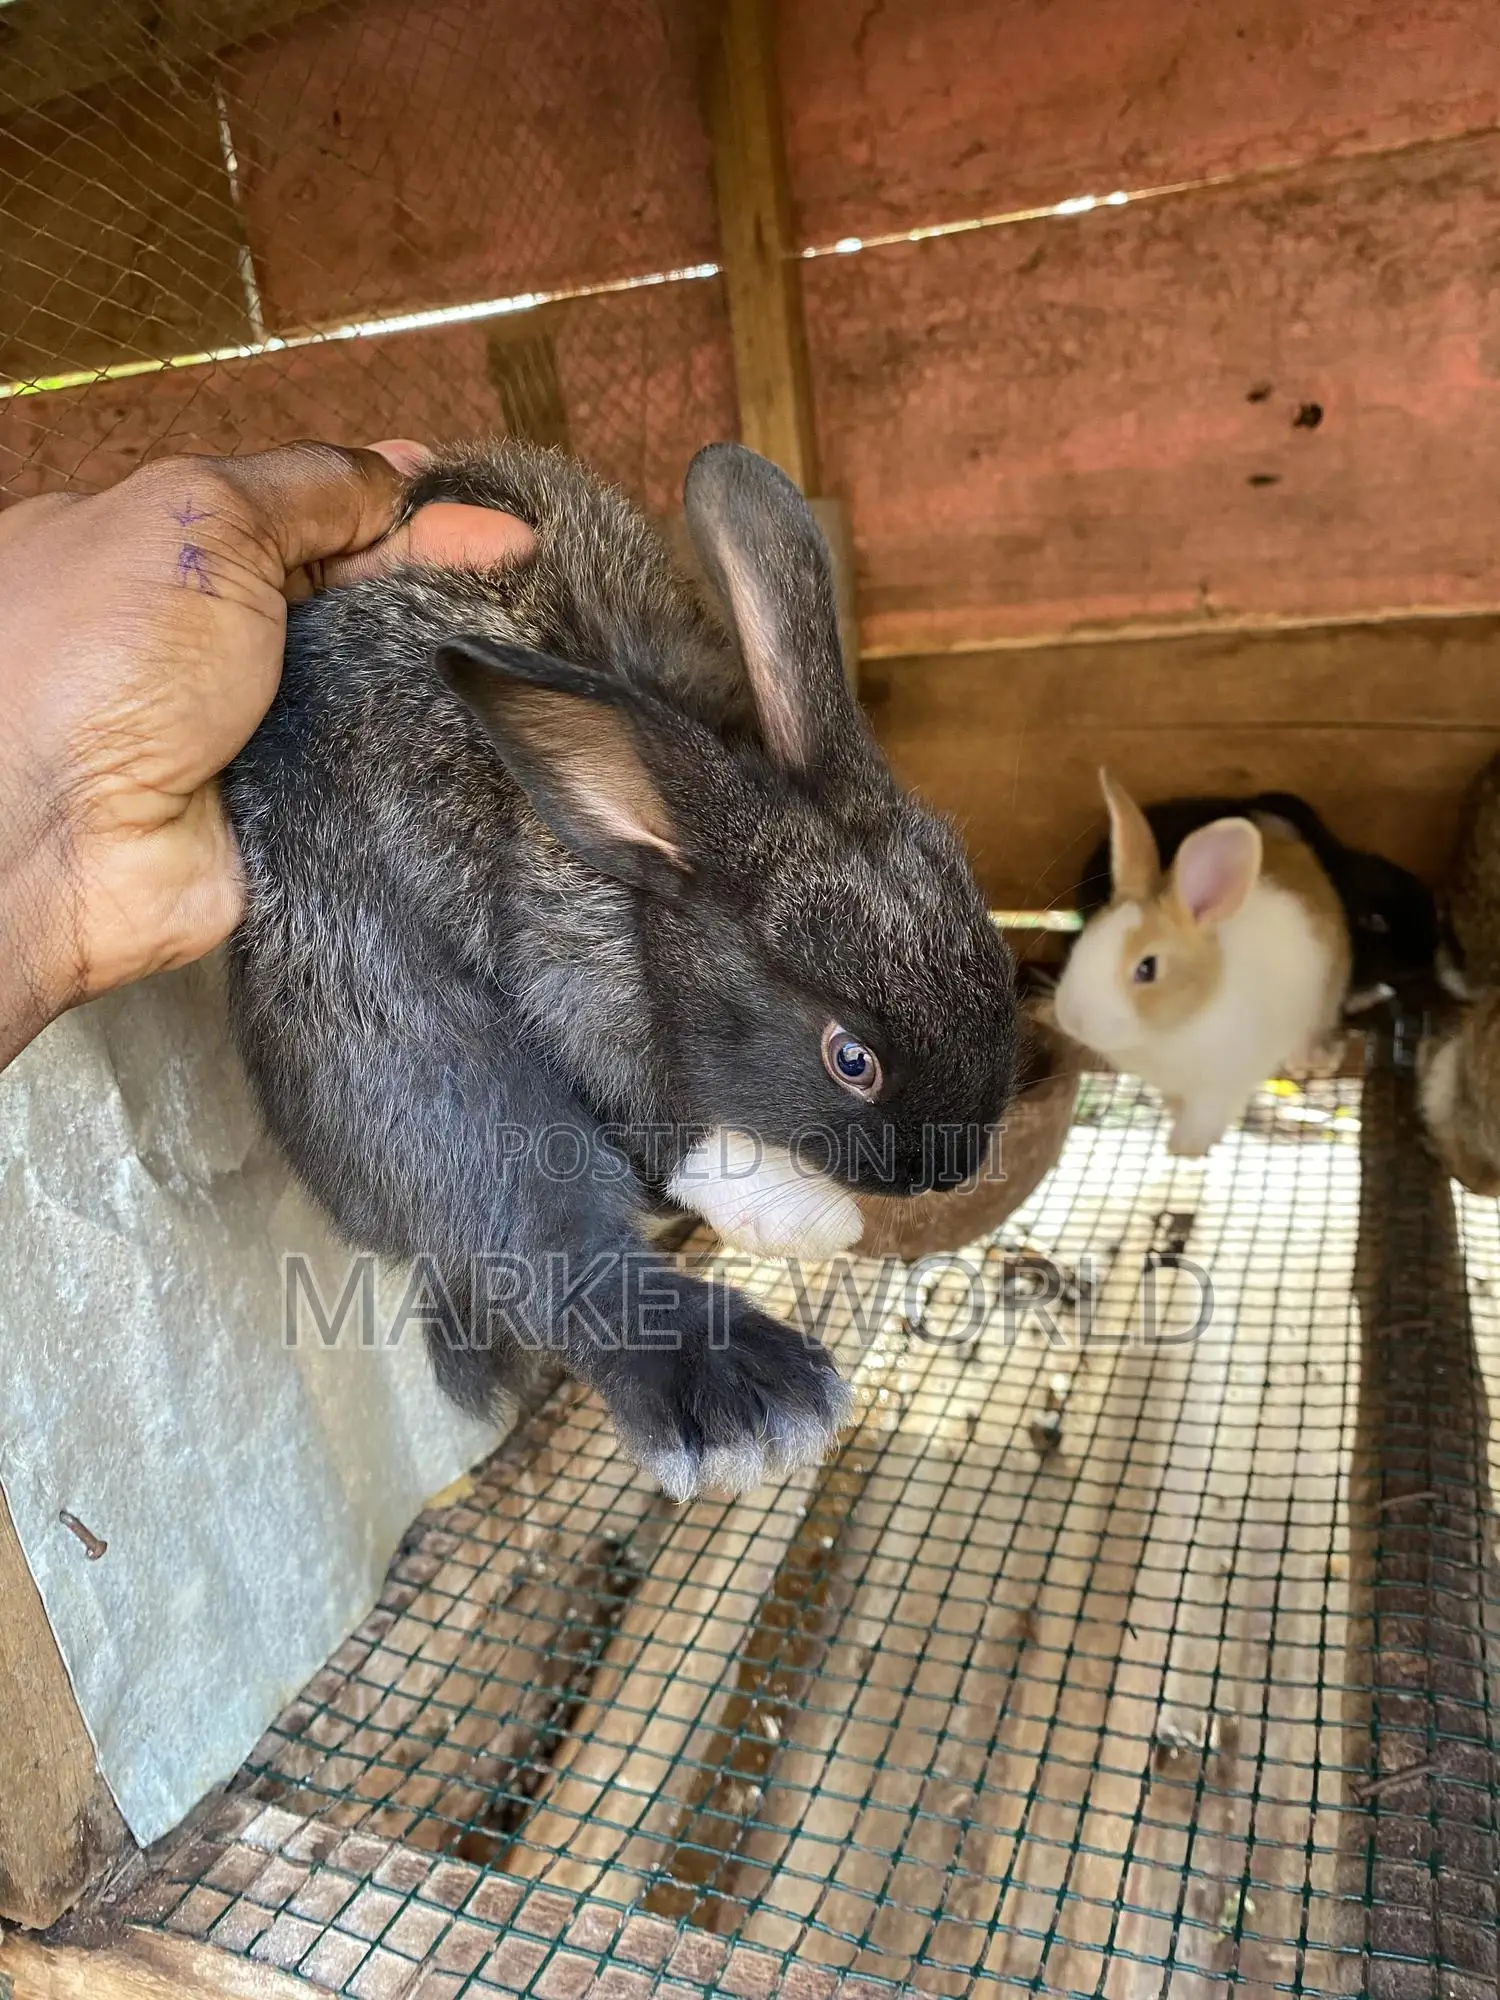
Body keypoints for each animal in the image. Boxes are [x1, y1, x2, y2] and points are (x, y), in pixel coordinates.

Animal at [223, 439, 1018, 1501]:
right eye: (851, 1059)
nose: (951, 1169)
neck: (647, 888)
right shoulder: (580, 991)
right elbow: (671, 1133)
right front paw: (801, 1223)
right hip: (397, 1025)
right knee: (547, 1241)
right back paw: (748, 1392)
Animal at [1053, 770, 1351, 1156]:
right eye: (1085, 939)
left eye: (1147, 968)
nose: (1072, 1020)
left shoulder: (1222, 1084)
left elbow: (1205, 1114)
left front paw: (1185, 1148)